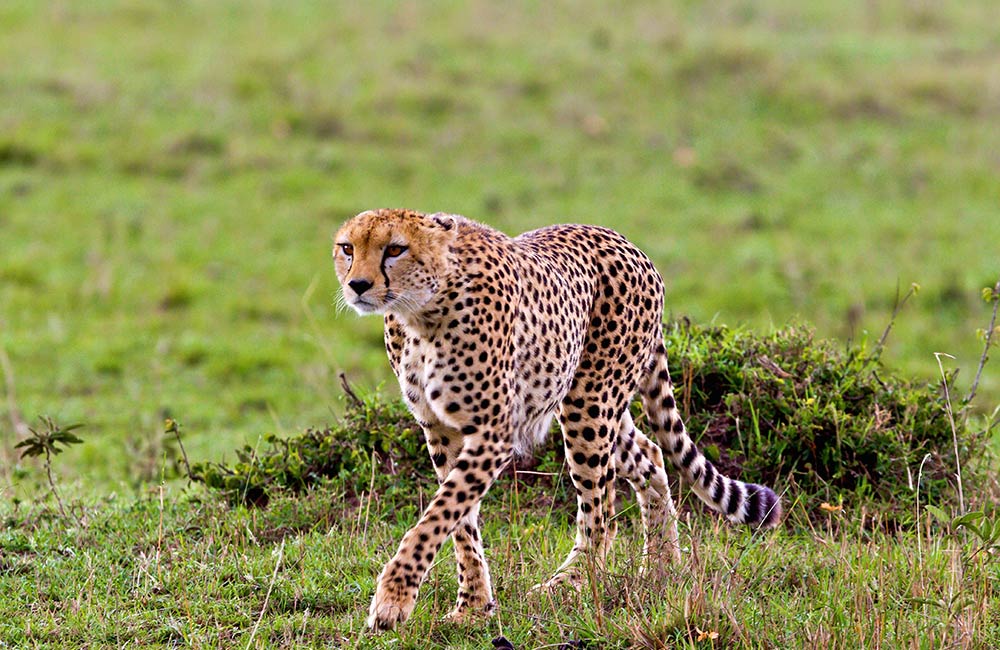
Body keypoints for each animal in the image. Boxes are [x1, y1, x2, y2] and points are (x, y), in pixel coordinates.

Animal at [336, 206, 780, 628]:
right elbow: (460, 522)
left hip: (590, 404)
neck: (422, 313)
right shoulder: (440, 429)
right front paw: (473, 606)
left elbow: (440, 513)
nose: (357, 285)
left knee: (601, 511)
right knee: (651, 456)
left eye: (395, 249)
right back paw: (661, 568)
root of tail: (627, 243)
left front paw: (393, 598)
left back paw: (571, 581)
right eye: (347, 248)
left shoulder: (494, 431)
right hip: (599, 405)